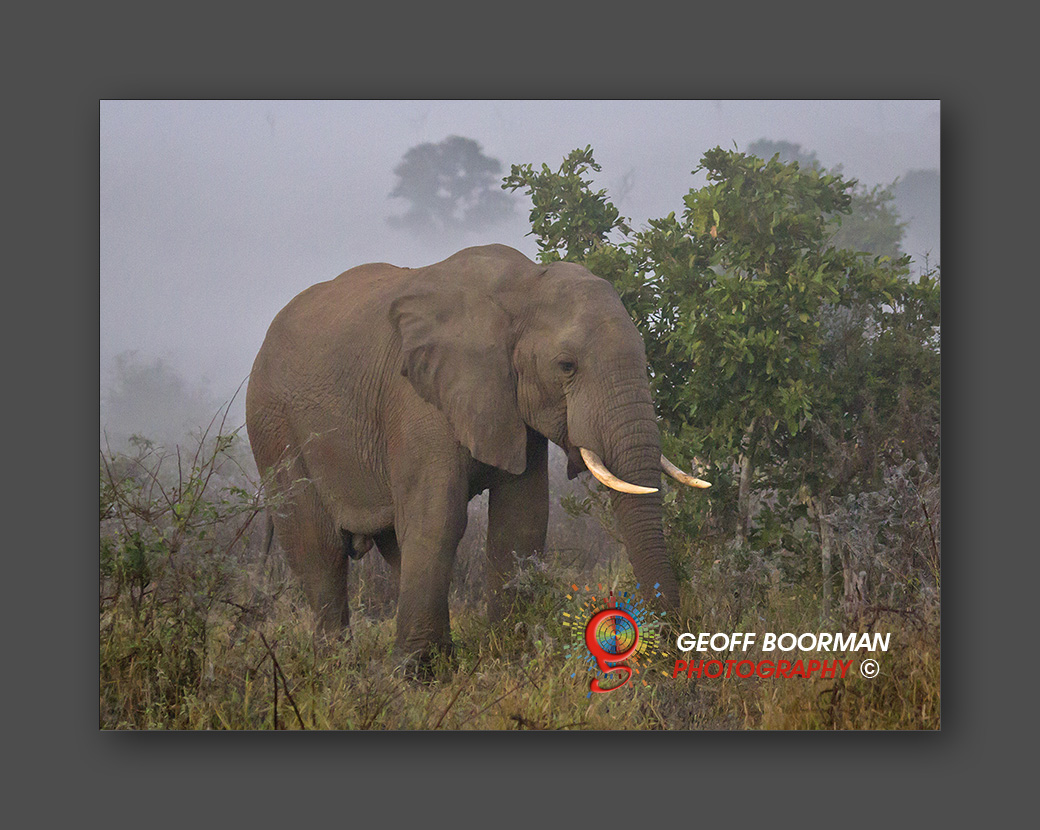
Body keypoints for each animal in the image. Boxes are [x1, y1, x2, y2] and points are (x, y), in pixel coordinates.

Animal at [245, 244, 708, 665]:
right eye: (566, 366)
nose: (671, 642)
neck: (524, 286)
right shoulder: (418, 398)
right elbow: (438, 517)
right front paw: (413, 675)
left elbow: (521, 518)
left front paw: (510, 654)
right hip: (273, 425)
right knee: (317, 546)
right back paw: (336, 666)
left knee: (393, 545)